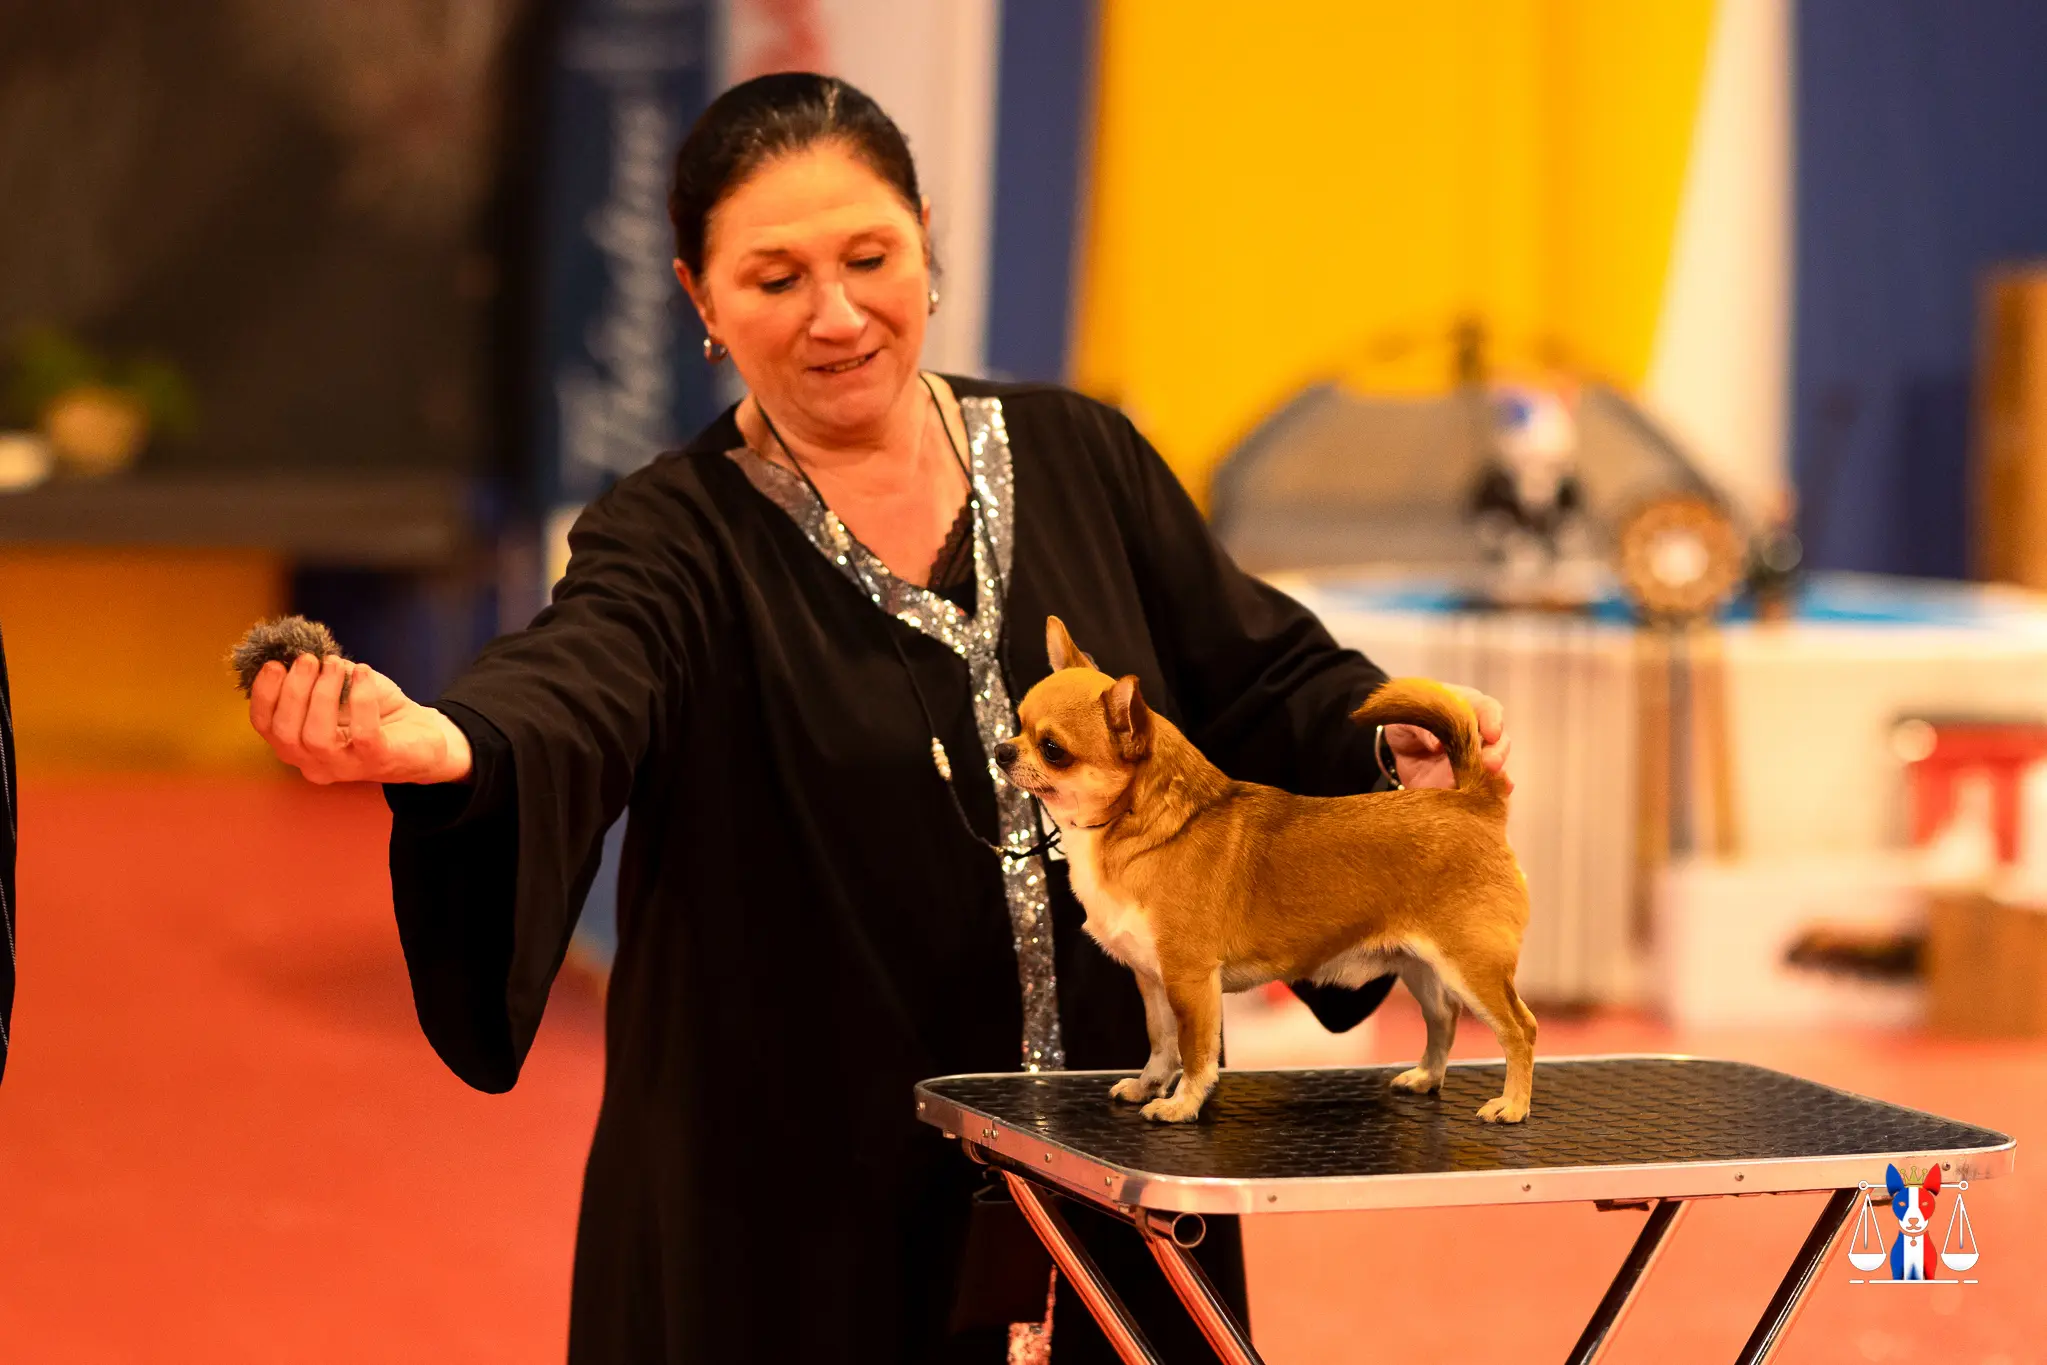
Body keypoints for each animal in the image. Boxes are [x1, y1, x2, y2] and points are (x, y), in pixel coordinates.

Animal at [996, 617, 1536, 1124]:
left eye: (1053, 749)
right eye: (1016, 722)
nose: (1002, 750)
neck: (1139, 827)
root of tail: (1474, 799)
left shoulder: (1191, 982)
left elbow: (1194, 1052)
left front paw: (1181, 1104)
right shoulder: (1152, 981)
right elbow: (1161, 1042)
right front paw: (1149, 1086)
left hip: (1472, 968)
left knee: (1519, 1029)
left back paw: (1512, 1104)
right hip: (1421, 967)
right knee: (1444, 1018)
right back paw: (1427, 1077)